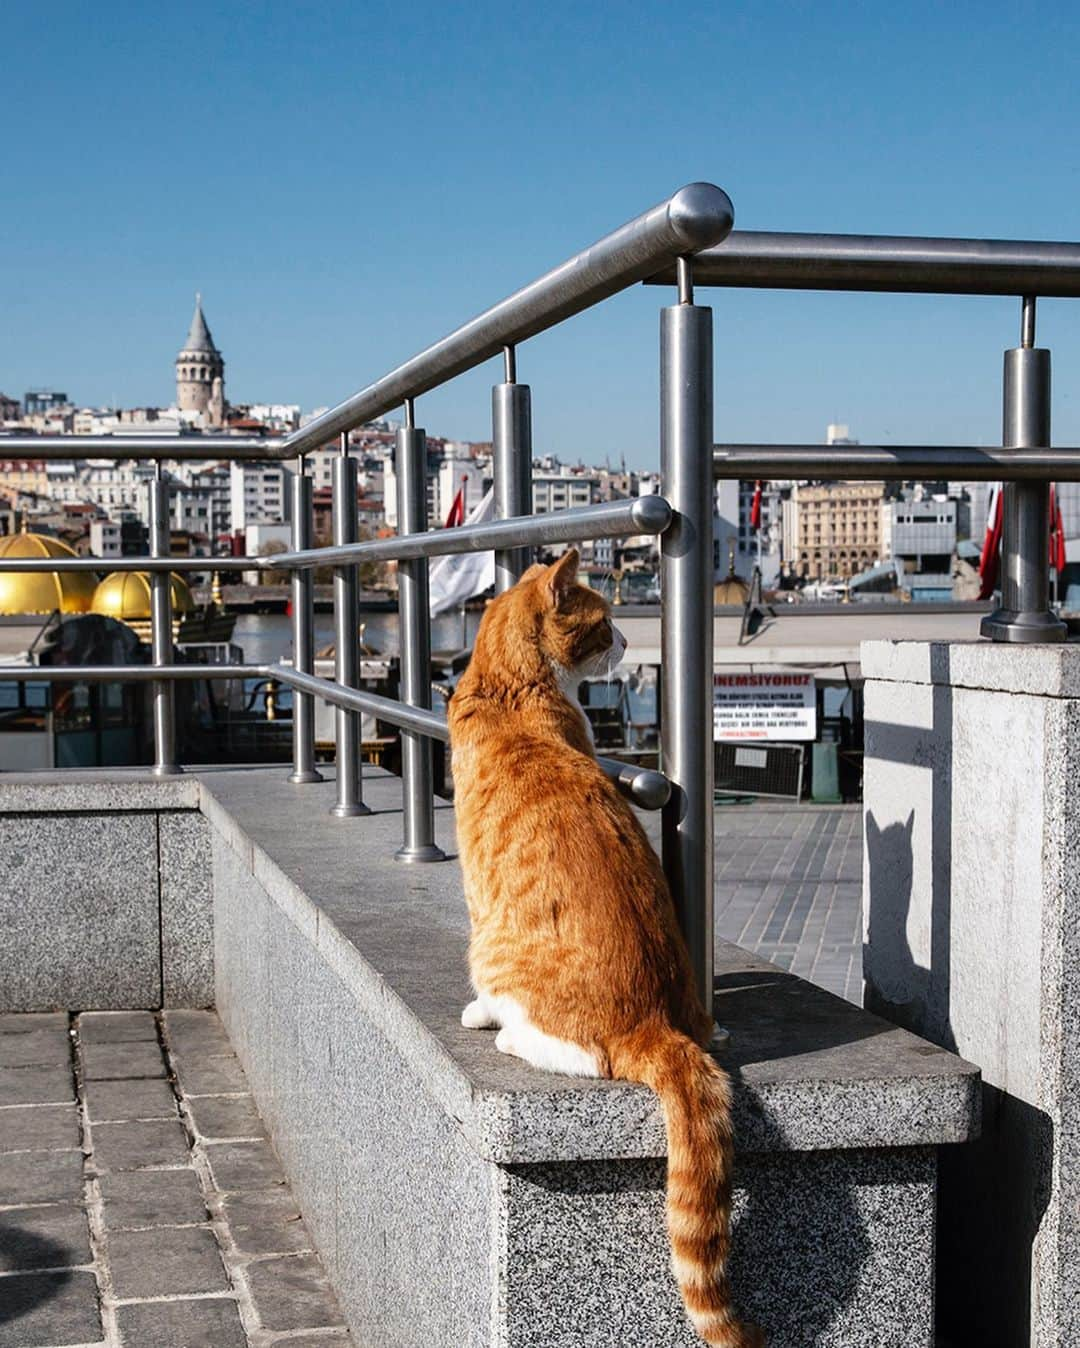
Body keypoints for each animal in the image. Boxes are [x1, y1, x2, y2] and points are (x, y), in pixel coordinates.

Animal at [447, 549, 760, 1348]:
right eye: (608, 621)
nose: (626, 642)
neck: (506, 687)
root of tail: (656, 1020)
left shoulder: (475, 887)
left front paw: (477, 1014)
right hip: (686, 1005)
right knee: (697, 1030)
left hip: (497, 949)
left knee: (587, 1055)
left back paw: (507, 1034)